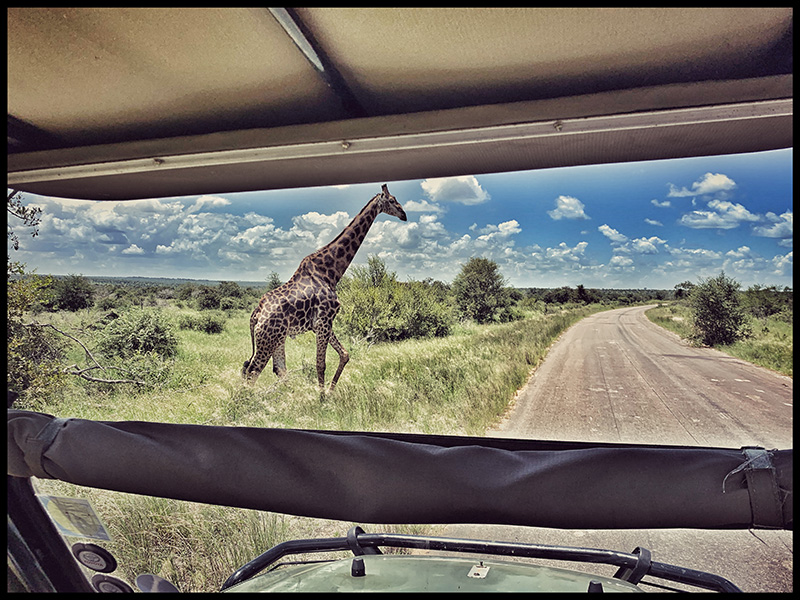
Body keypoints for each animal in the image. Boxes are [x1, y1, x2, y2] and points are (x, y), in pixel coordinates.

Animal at [242, 188, 406, 394]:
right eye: (392, 200)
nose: (404, 215)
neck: (331, 272)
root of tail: (256, 314)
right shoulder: (323, 321)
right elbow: (321, 364)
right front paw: (321, 397)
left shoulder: (323, 323)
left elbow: (344, 354)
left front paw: (329, 392)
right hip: (267, 338)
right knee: (252, 372)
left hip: (278, 338)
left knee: (278, 369)